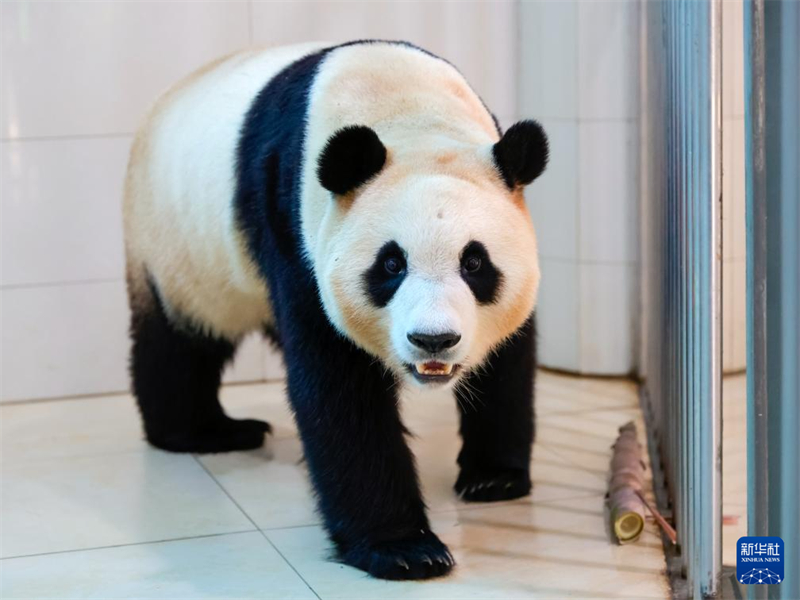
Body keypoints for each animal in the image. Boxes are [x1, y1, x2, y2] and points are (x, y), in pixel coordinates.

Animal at [123, 40, 548, 580]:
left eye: (474, 263)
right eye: (391, 264)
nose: (433, 340)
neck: (405, 106)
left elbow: (507, 365)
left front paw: (493, 478)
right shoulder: (296, 228)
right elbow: (339, 391)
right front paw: (404, 549)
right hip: (176, 246)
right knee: (179, 342)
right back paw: (206, 431)